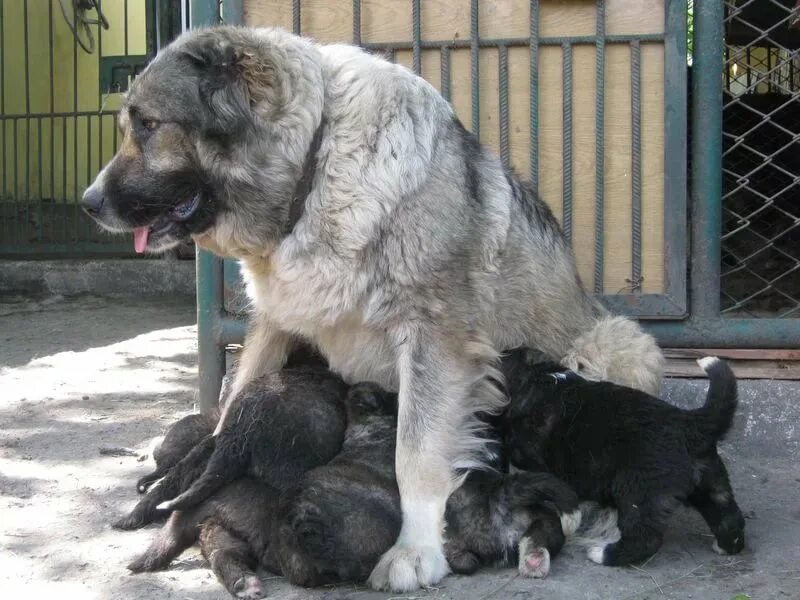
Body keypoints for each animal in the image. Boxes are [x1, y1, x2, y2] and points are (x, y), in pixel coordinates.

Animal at [81, 24, 664, 592]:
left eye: (149, 125)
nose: (88, 203)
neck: (314, 169)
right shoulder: (274, 326)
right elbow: (233, 407)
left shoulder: (435, 342)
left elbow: (416, 455)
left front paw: (415, 551)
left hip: (613, 342)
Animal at [504, 350, 748, 564]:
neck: (542, 378)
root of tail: (690, 423)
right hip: (711, 481)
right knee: (728, 516)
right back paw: (725, 546)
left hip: (638, 491)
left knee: (644, 538)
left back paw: (602, 554)